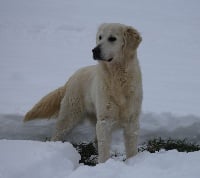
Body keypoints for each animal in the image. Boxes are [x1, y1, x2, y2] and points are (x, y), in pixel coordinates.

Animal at [23, 22, 142, 163]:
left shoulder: (132, 121)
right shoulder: (104, 120)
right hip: (69, 116)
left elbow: (132, 150)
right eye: (100, 37)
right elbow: (104, 150)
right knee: (57, 135)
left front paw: (133, 162)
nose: (95, 50)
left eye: (112, 38)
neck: (118, 78)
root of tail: (71, 78)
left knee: (96, 140)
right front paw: (104, 164)